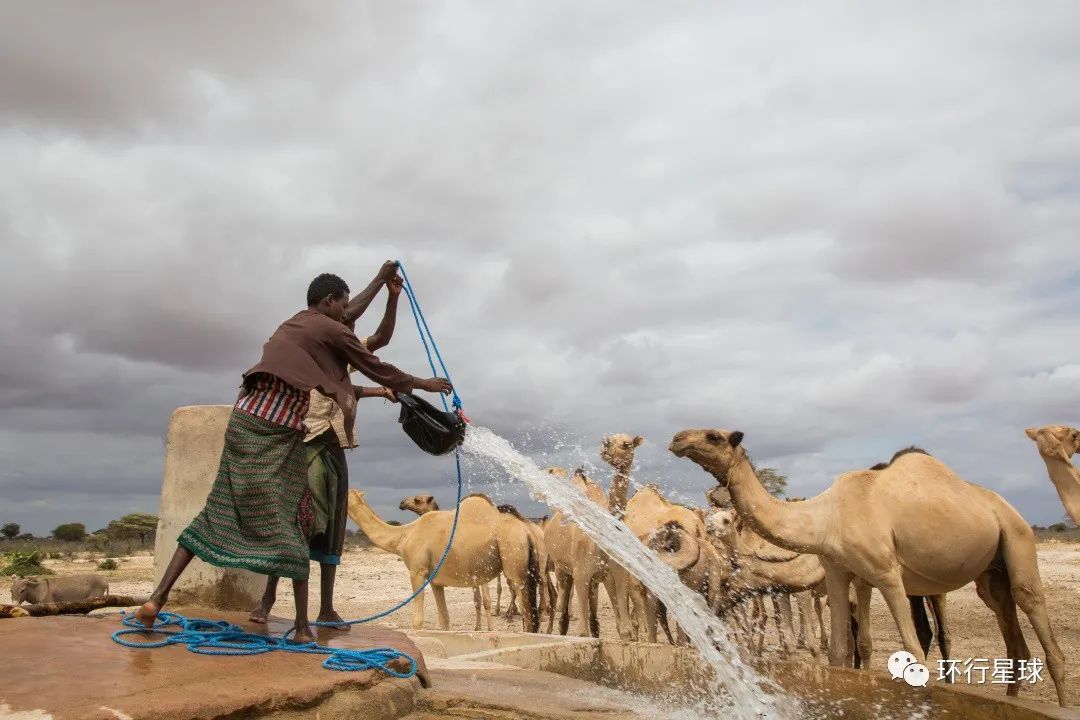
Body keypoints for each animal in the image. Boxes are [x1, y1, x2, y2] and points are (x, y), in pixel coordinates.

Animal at [349, 490, 540, 630]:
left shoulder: (417, 572)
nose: (402, 503)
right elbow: (444, 619)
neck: (403, 536)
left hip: (514, 563)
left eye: (417, 500)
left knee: (527, 613)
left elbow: (417, 621)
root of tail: (527, 531)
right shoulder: (436, 580)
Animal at [669, 431, 1067, 708]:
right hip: (990, 573)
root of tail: (1006, 507)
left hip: (1017, 537)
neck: (825, 517)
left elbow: (909, 647)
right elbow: (844, 650)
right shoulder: (843, 574)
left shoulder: (885, 574)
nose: (677, 439)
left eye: (715, 436)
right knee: (1012, 634)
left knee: (1036, 616)